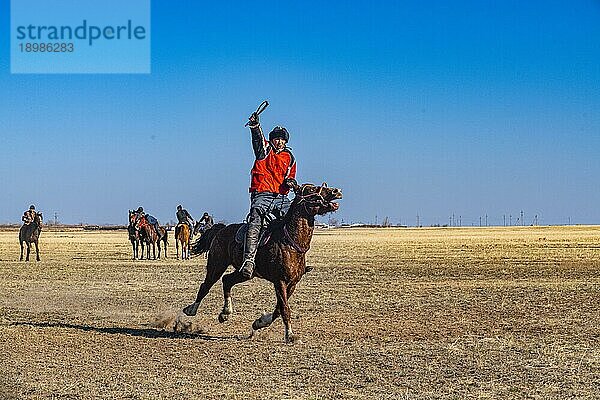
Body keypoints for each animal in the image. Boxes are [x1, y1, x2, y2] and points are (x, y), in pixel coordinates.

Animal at [182, 183, 342, 342]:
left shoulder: (292, 283)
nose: (336, 191)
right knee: (206, 285)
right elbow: (284, 308)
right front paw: (290, 335)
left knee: (227, 280)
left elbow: (278, 309)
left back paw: (225, 313)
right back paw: (191, 309)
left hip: (245, 273)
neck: (290, 242)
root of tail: (221, 229)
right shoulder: (279, 281)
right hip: (216, 265)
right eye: (311, 189)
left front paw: (259, 323)